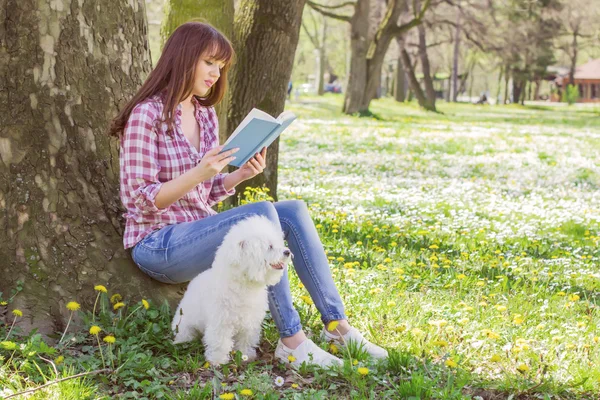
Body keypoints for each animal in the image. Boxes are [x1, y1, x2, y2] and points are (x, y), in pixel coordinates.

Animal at [170, 216, 292, 366]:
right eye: (270, 246)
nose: (287, 252)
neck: (243, 284)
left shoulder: (250, 322)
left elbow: (246, 339)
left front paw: (245, 355)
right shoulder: (221, 322)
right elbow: (220, 342)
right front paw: (218, 360)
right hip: (184, 325)